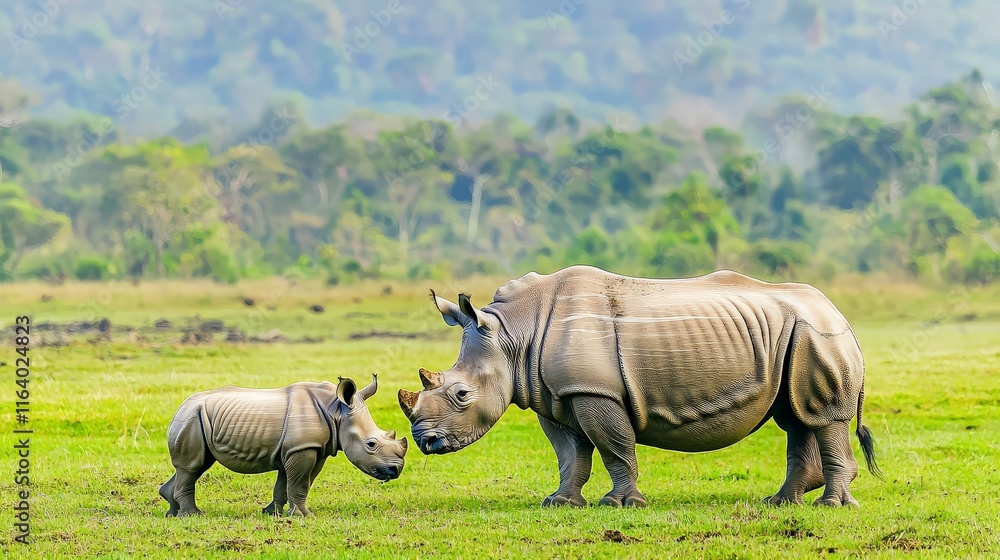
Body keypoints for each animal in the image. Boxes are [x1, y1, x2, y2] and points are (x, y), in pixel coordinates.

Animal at [160, 374, 407, 517]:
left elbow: (288, 484)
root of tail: (180, 407)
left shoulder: (310, 448)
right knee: (192, 467)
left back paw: (172, 514)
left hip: (198, 418)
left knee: (197, 466)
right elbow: (298, 483)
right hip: (192, 418)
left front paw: (272, 514)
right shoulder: (302, 448)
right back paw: (193, 515)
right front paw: (303, 516)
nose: (395, 470)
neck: (337, 411)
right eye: (371, 444)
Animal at [398, 265, 880, 508]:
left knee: (822, 417)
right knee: (797, 416)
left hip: (817, 334)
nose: (425, 443)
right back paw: (781, 503)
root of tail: (840, 314)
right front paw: (560, 502)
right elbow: (570, 456)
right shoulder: (557, 396)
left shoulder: (594, 392)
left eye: (462, 395)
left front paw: (621, 503)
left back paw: (830, 506)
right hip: (798, 336)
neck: (513, 335)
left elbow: (614, 447)